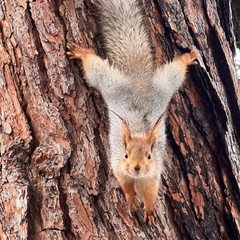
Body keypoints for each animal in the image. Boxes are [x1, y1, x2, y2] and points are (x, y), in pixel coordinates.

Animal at [67, 0, 199, 225]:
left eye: (149, 156)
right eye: (126, 154)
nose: (136, 168)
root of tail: (138, 79)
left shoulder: (154, 173)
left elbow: (151, 192)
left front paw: (149, 210)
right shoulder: (118, 164)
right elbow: (125, 185)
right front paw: (131, 200)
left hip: (166, 83)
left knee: (177, 68)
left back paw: (188, 57)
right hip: (107, 80)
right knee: (93, 64)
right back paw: (81, 52)